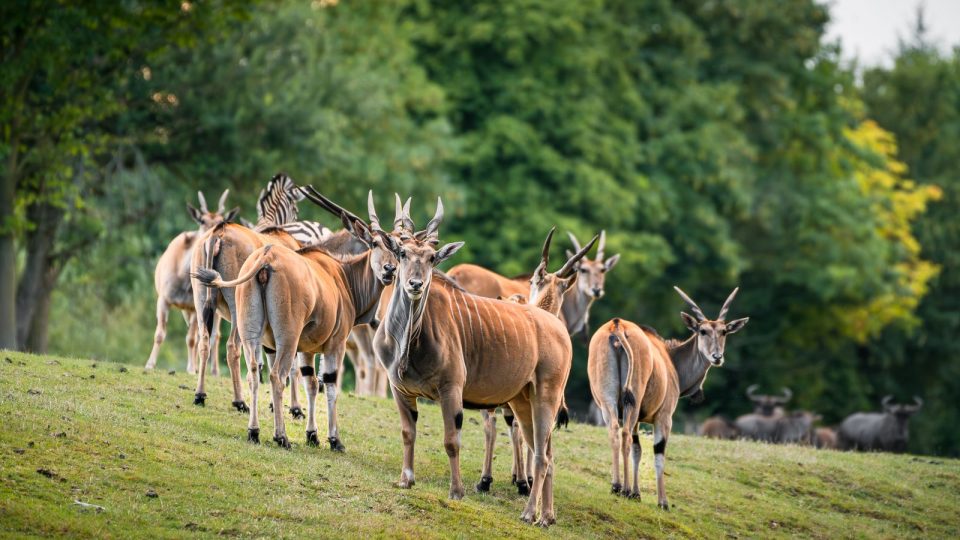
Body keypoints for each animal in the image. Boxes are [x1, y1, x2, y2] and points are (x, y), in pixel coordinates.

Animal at [146, 192, 238, 374]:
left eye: (221, 220)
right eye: (202, 220)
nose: (212, 235)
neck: (183, 276)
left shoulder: (195, 307)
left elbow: (191, 338)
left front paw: (191, 368)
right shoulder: (164, 300)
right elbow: (159, 333)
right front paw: (150, 364)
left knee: (213, 335)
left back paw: (213, 371)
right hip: (187, 311)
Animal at [195, 188, 398, 450]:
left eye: (399, 250)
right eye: (374, 243)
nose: (389, 270)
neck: (341, 275)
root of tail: (265, 259)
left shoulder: (305, 349)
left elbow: (310, 383)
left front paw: (311, 434)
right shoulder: (334, 344)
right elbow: (327, 384)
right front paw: (332, 439)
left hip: (235, 321)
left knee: (248, 369)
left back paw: (248, 427)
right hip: (284, 336)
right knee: (273, 373)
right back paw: (279, 435)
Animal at [372, 199, 572, 528]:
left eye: (431, 258)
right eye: (402, 253)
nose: (415, 284)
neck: (411, 337)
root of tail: (558, 326)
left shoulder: (451, 388)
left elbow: (452, 440)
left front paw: (457, 492)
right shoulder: (399, 389)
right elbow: (407, 433)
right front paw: (406, 480)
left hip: (547, 397)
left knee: (542, 457)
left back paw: (529, 513)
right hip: (523, 402)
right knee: (546, 452)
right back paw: (547, 516)